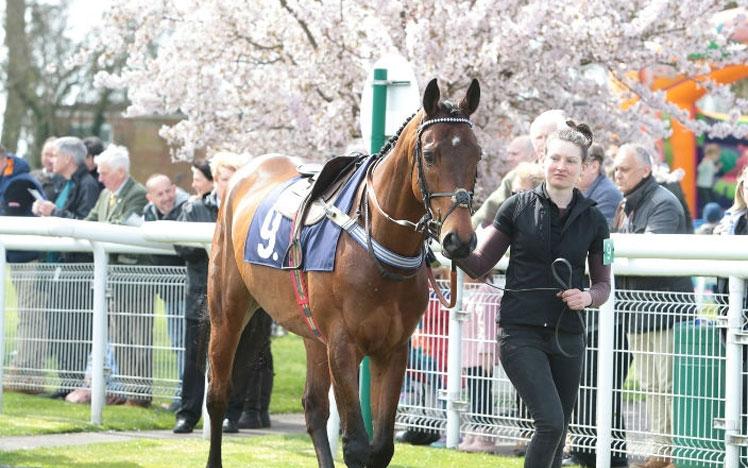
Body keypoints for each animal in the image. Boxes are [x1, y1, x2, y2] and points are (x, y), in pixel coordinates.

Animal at [205, 78, 482, 468]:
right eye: (429, 155)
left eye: (477, 155)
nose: (460, 240)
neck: (378, 245)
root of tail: (243, 174)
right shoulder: (342, 344)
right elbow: (356, 445)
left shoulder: (393, 348)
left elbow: (381, 447)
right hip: (227, 310)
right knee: (217, 393)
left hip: (309, 330)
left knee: (313, 407)